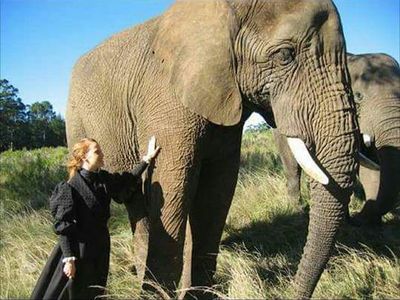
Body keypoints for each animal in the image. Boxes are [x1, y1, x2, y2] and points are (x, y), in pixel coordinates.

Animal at [65, 1, 360, 298]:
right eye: (285, 55)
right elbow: (171, 194)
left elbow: (216, 194)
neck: (224, 12)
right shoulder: (166, 104)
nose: (288, 292)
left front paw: (197, 294)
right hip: (75, 120)